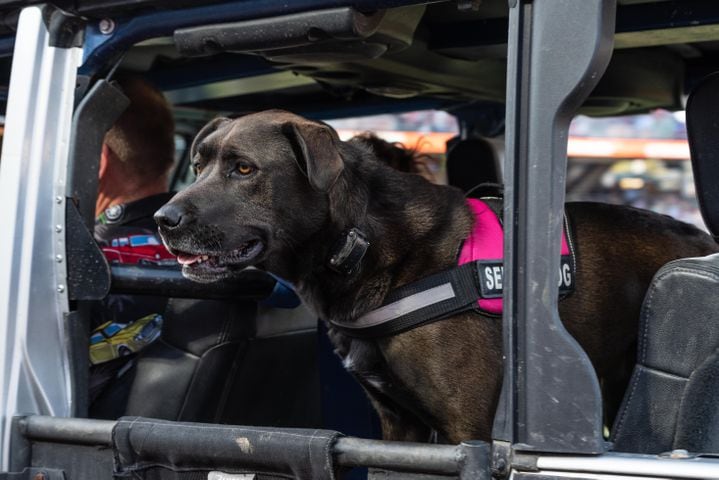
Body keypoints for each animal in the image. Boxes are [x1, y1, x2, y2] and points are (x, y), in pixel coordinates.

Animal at [156, 110, 719, 444]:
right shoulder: (397, 426)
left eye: (244, 170)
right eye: (198, 165)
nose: (163, 219)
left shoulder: (467, 429)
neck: (359, 243)